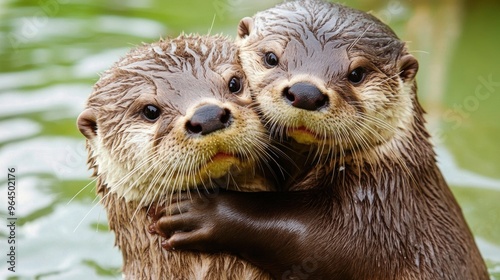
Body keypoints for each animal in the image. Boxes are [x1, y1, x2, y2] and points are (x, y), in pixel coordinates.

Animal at [147, 1, 488, 278]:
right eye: (271, 57)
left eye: (357, 74)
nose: (306, 93)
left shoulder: (383, 217)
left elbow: (316, 241)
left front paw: (201, 210)